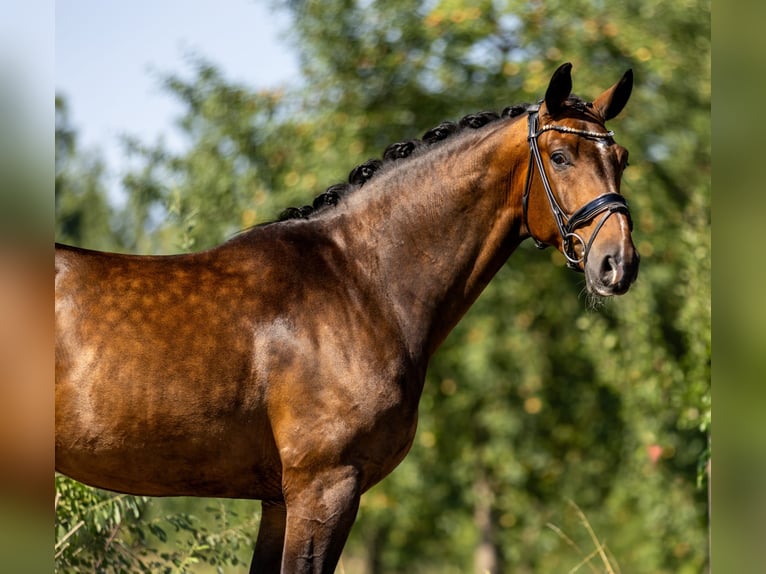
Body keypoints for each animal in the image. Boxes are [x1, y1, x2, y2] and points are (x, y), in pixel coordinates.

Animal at [55, 63, 638, 573]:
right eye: (560, 156)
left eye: (623, 158)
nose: (619, 263)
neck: (360, 282)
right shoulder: (323, 487)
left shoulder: (280, 501)